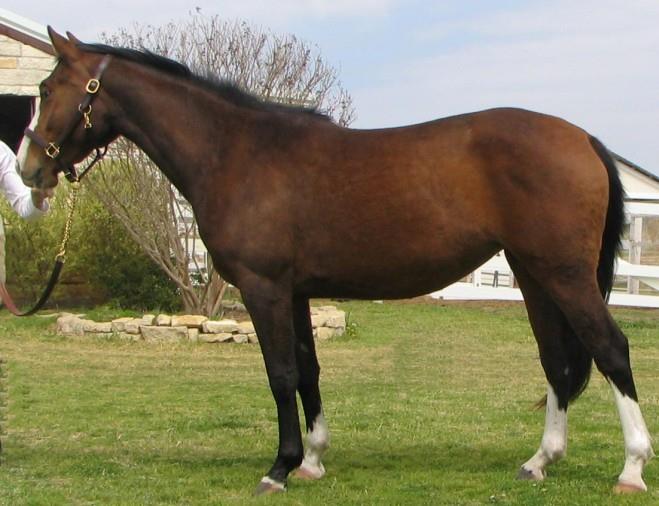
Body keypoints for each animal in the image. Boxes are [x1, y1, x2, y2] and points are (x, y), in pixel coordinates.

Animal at [18, 28, 653, 495]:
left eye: (48, 89)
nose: (29, 169)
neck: (236, 152)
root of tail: (584, 139)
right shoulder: (295, 291)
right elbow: (309, 369)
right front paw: (312, 461)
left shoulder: (264, 288)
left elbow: (280, 374)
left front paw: (279, 468)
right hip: (533, 275)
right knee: (558, 363)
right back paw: (539, 461)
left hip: (563, 275)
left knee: (611, 350)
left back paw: (631, 468)